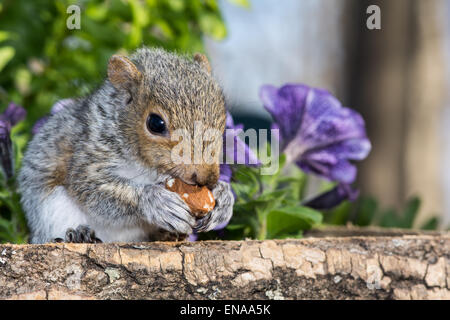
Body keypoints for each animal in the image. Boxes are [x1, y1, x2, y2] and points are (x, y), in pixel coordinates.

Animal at [18, 47, 234, 242]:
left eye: (222, 119)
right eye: (155, 123)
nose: (208, 179)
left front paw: (223, 198)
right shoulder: (89, 156)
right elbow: (91, 188)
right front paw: (154, 201)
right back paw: (77, 235)